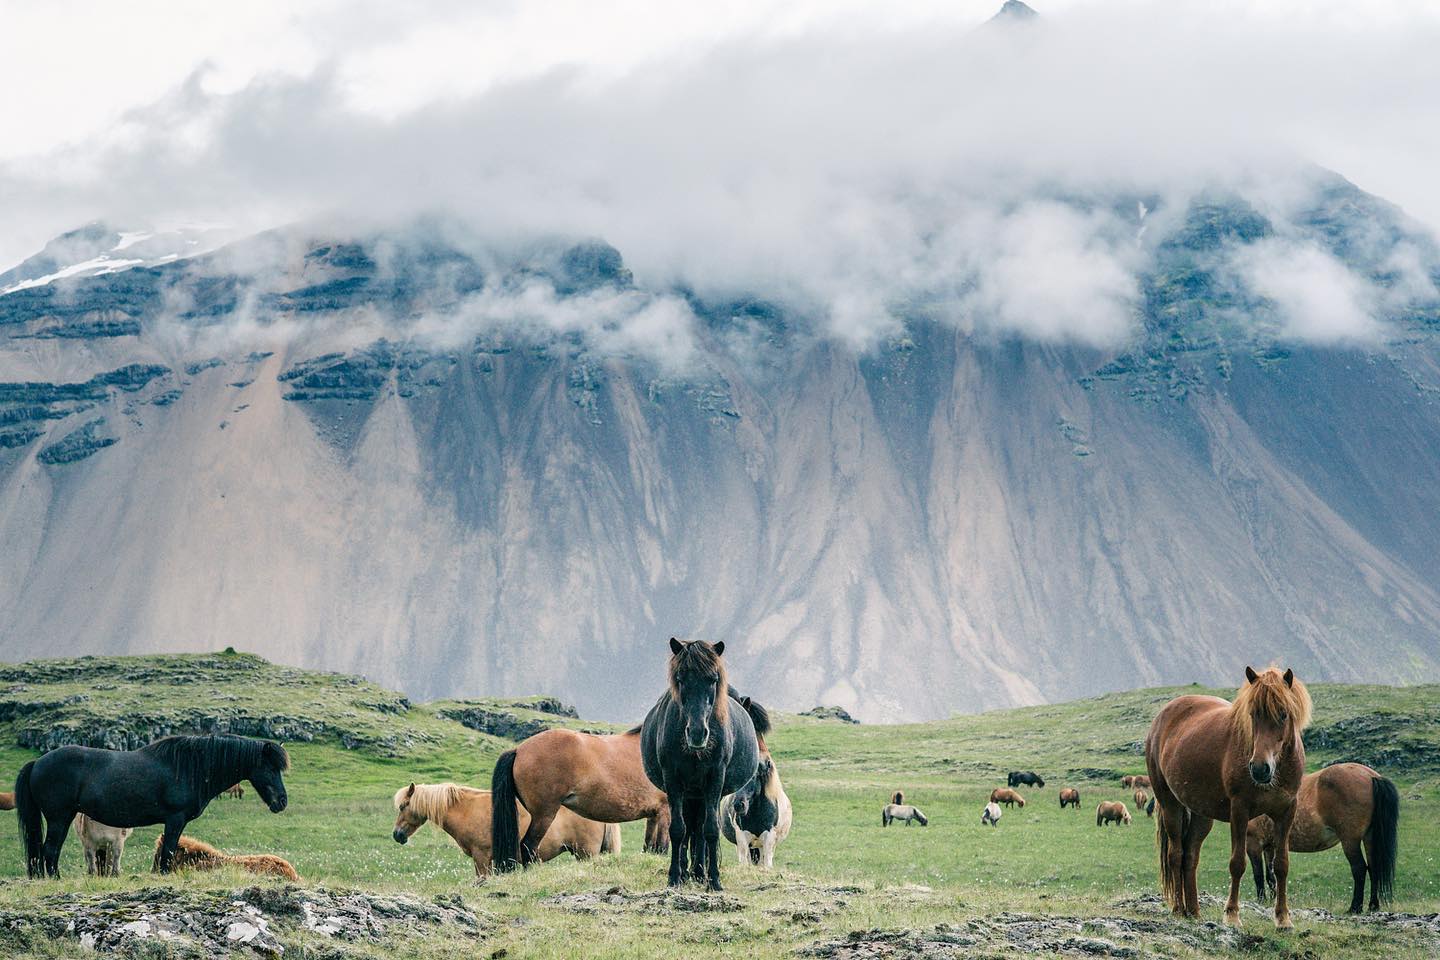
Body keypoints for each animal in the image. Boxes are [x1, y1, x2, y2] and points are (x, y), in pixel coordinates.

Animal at [15, 734, 289, 877]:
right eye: (270, 768)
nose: (282, 802)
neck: (191, 767)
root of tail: (38, 762)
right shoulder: (175, 819)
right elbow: (168, 850)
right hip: (59, 818)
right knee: (50, 851)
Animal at [641, 638, 764, 890]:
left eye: (713, 679)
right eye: (680, 679)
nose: (697, 734)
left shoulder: (715, 780)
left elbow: (710, 830)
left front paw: (714, 880)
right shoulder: (673, 781)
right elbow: (678, 830)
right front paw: (675, 877)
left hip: (702, 794)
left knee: (699, 831)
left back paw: (699, 872)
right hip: (691, 794)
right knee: (690, 829)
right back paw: (689, 872)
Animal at [1145, 666, 1312, 930]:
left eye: (1284, 714)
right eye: (1253, 714)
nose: (1259, 768)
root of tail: (1163, 716)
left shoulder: (1286, 812)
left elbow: (1281, 865)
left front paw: (1283, 918)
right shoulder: (1240, 811)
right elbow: (1237, 863)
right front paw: (1232, 914)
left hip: (1202, 815)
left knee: (1190, 856)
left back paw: (1194, 911)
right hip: (1171, 805)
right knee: (1176, 854)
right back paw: (1179, 909)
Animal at [1245, 762, 1399, 914]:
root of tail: (1371, 776)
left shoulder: (1253, 844)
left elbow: (1258, 875)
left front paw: (1261, 901)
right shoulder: (1269, 847)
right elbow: (1271, 877)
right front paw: (1273, 901)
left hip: (1350, 841)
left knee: (1359, 868)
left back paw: (1355, 908)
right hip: (1370, 838)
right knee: (1373, 868)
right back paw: (1373, 906)